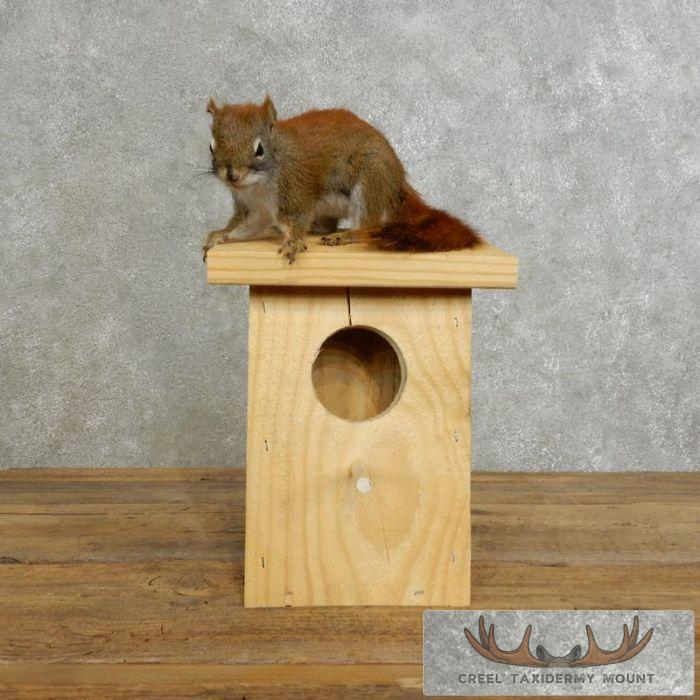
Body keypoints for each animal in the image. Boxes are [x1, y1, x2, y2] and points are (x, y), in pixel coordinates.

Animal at [203, 96, 482, 263]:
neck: (258, 185)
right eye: (211, 147)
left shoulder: (297, 192)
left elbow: (297, 219)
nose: (232, 174)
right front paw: (218, 236)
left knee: (367, 226)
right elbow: (246, 225)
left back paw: (346, 236)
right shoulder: (253, 208)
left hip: (369, 182)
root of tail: (396, 184)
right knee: (328, 225)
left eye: (259, 149)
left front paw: (293, 242)